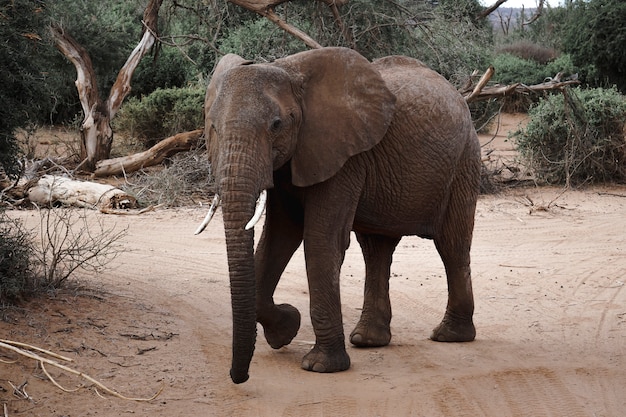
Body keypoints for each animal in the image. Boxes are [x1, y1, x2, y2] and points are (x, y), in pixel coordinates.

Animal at [195, 46, 478, 384]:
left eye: (276, 125)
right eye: (213, 127)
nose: (239, 378)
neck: (288, 71)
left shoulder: (342, 156)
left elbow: (319, 241)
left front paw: (320, 366)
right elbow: (279, 237)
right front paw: (286, 331)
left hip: (464, 160)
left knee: (452, 245)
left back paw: (450, 336)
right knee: (376, 248)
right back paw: (367, 340)